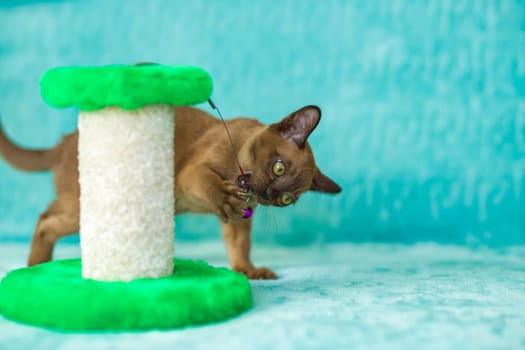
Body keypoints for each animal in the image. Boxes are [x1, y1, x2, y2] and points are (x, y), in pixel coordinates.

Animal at [0, 105, 340, 280]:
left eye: (287, 199)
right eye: (278, 168)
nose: (267, 194)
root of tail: (64, 142)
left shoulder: (240, 220)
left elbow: (239, 246)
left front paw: (248, 271)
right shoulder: (193, 174)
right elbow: (211, 185)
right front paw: (223, 196)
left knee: (47, 215)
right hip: (91, 206)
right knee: (46, 219)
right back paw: (34, 267)